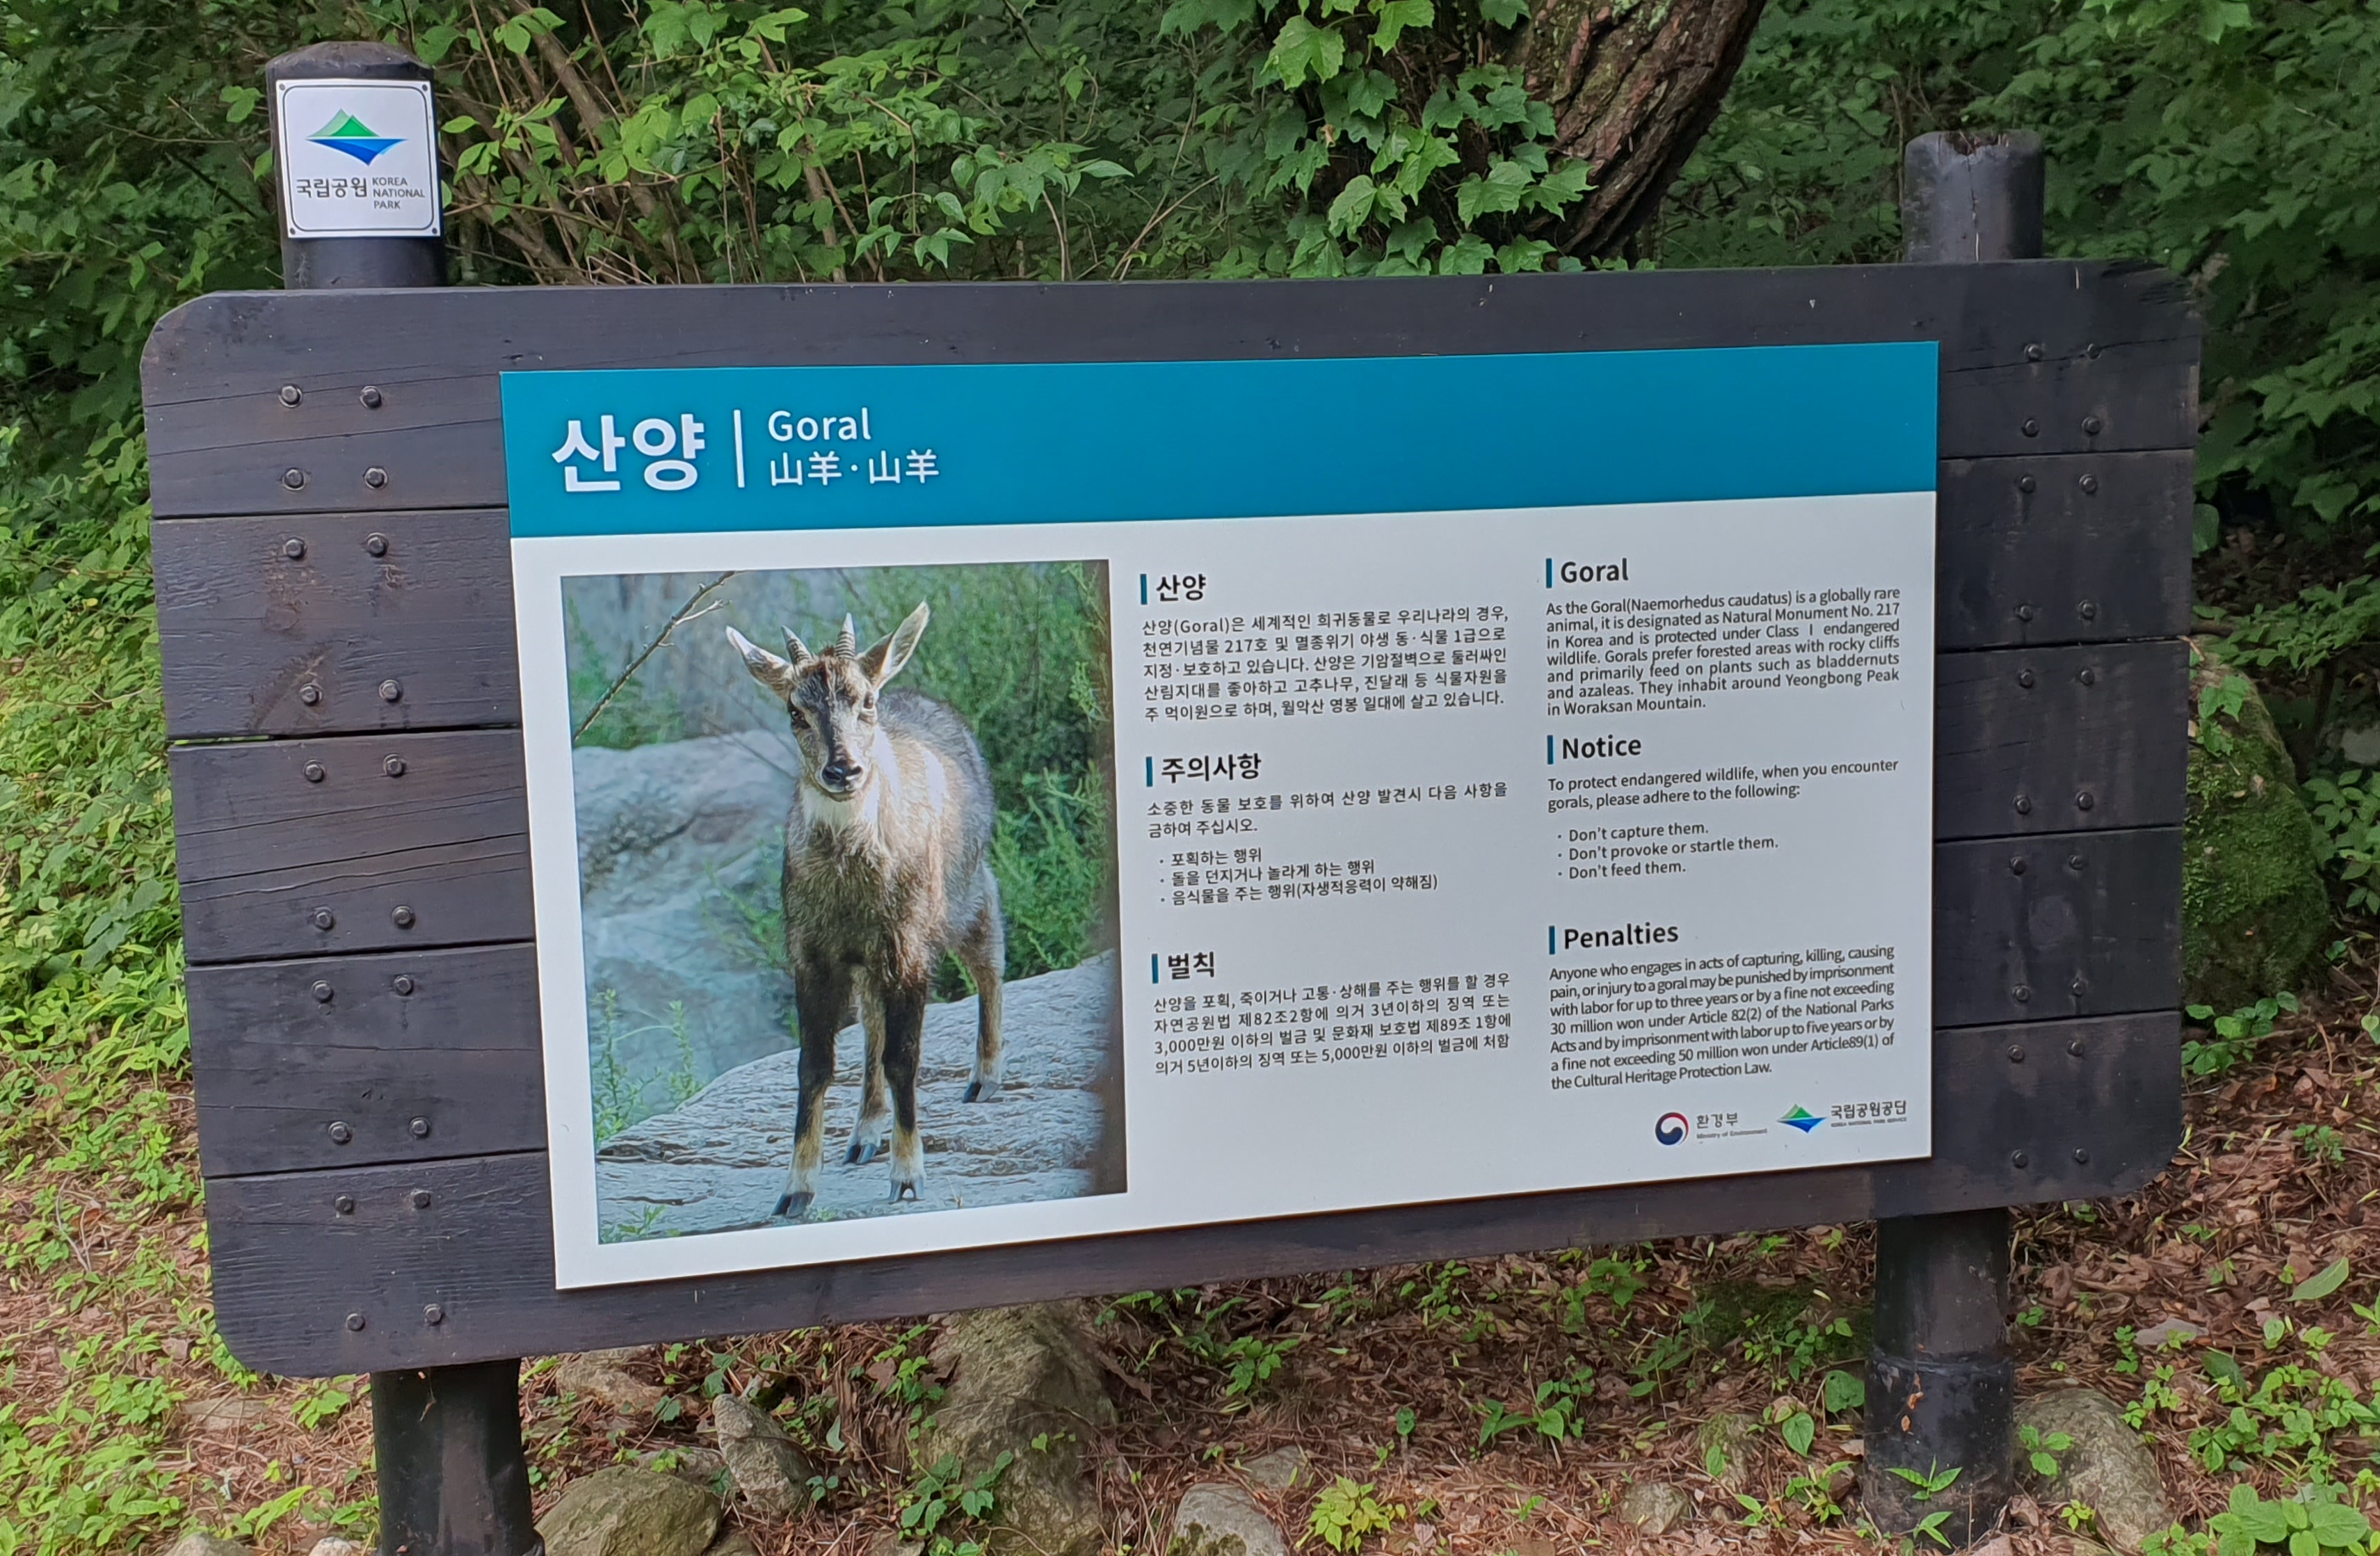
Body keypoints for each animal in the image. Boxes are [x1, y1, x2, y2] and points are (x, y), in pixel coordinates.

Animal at [725, 604, 1006, 1217]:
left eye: (865, 700)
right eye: (795, 710)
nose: (843, 770)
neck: (850, 882)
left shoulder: (908, 948)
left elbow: (905, 1057)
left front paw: (909, 1175)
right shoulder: (812, 953)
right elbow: (815, 1065)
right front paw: (796, 1189)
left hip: (960, 891)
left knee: (990, 947)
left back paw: (986, 1075)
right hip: (870, 957)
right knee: (872, 1021)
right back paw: (864, 1134)